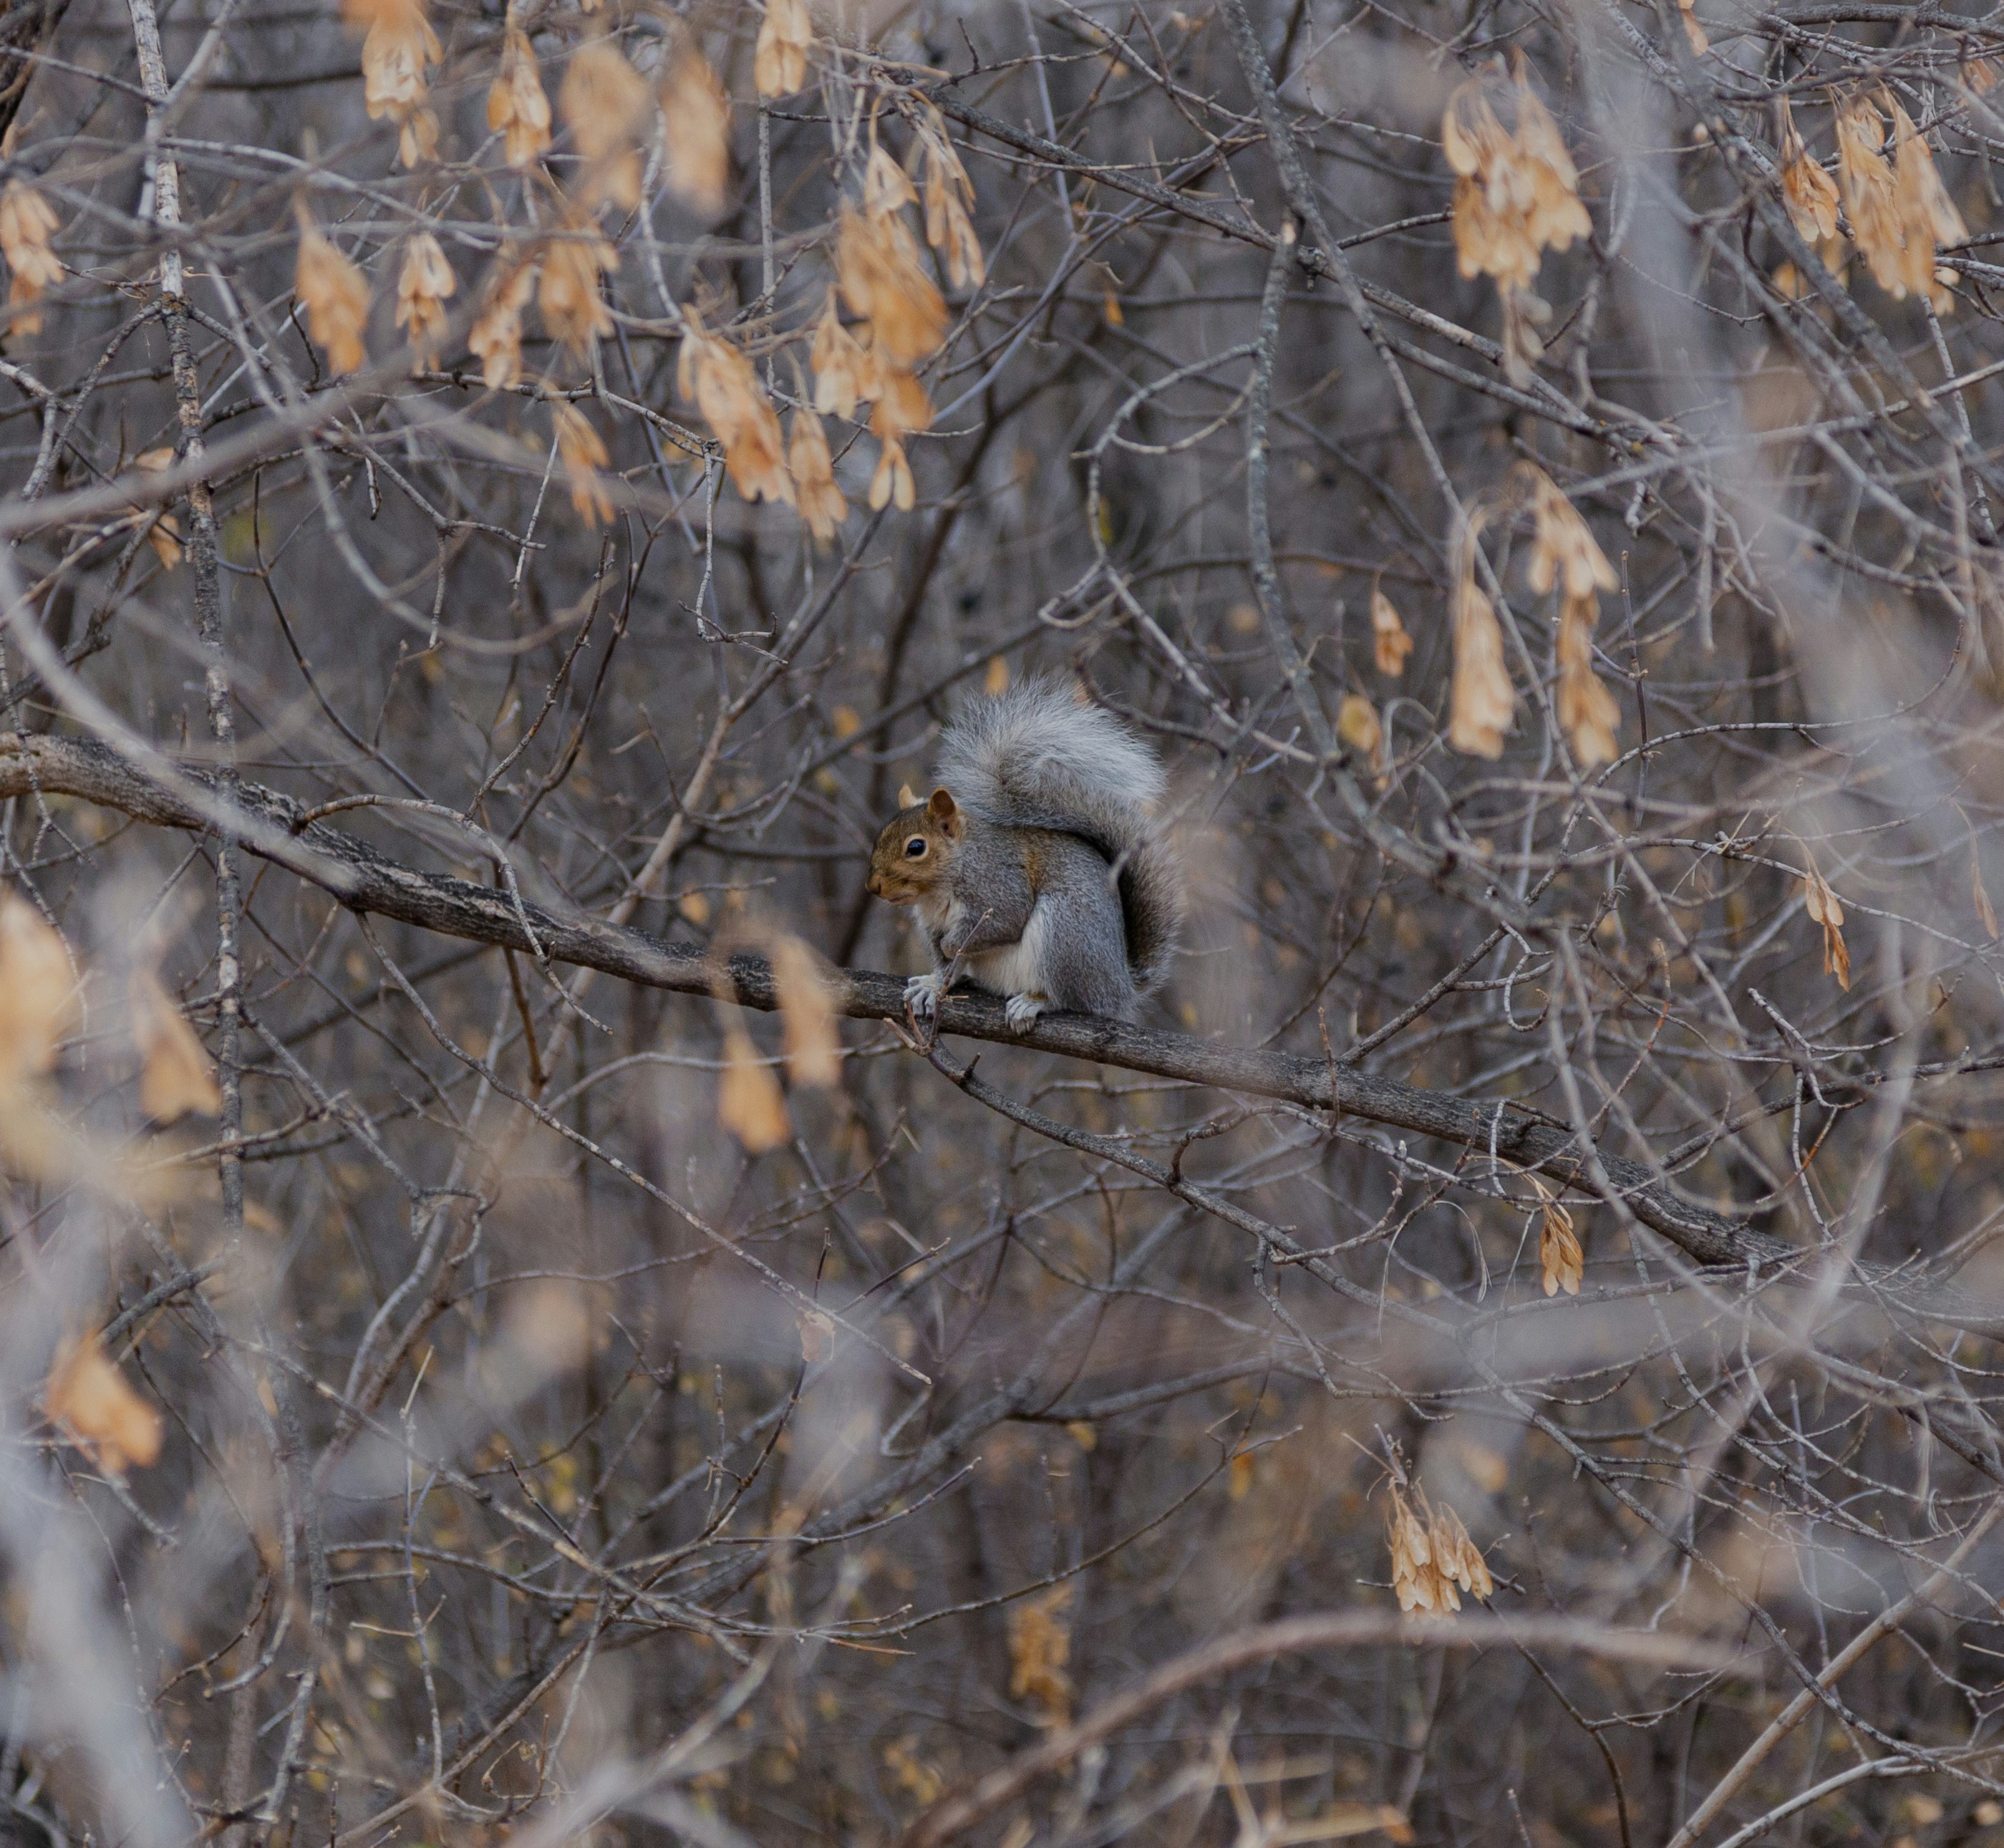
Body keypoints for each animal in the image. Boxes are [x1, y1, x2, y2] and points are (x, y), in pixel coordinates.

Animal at [866, 676, 1183, 1028]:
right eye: (881, 836)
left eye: (916, 847)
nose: (874, 887)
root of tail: (1120, 986)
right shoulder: (932, 925)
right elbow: (948, 966)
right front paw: (934, 985)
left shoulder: (997, 884)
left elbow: (1005, 920)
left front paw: (951, 949)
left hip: (1065, 933)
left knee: (1070, 999)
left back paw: (1036, 1002)